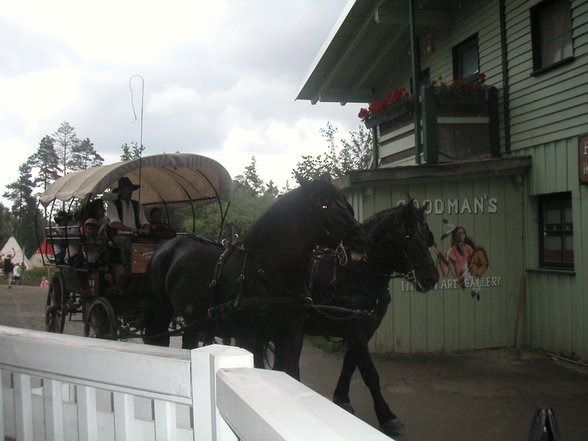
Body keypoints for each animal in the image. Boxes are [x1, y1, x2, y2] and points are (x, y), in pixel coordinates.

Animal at [144, 179, 370, 378]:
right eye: (323, 203)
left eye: (345, 203)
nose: (362, 239)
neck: (268, 273)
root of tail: (166, 247)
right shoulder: (250, 337)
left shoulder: (291, 337)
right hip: (161, 312)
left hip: (193, 320)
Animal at [306, 201, 438, 434]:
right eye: (407, 234)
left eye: (426, 235)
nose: (431, 277)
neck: (356, 272)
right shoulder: (355, 329)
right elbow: (369, 373)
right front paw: (387, 415)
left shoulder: (365, 329)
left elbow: (350, 363)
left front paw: (342, 398)